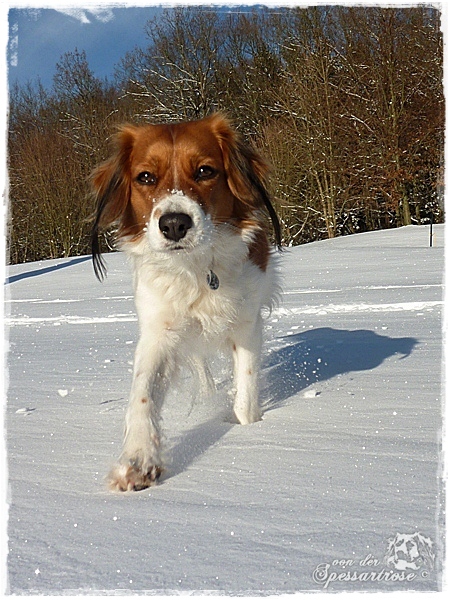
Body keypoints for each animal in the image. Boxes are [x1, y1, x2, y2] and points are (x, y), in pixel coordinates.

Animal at [89, 113, 280, 492]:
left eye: (205, 171)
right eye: (145, 177)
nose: (175, 224)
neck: (196, 269)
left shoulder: (246, 327)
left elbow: (246, 395)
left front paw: (247, 428)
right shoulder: (159, 333)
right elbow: (142, 394)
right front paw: (138, 461)